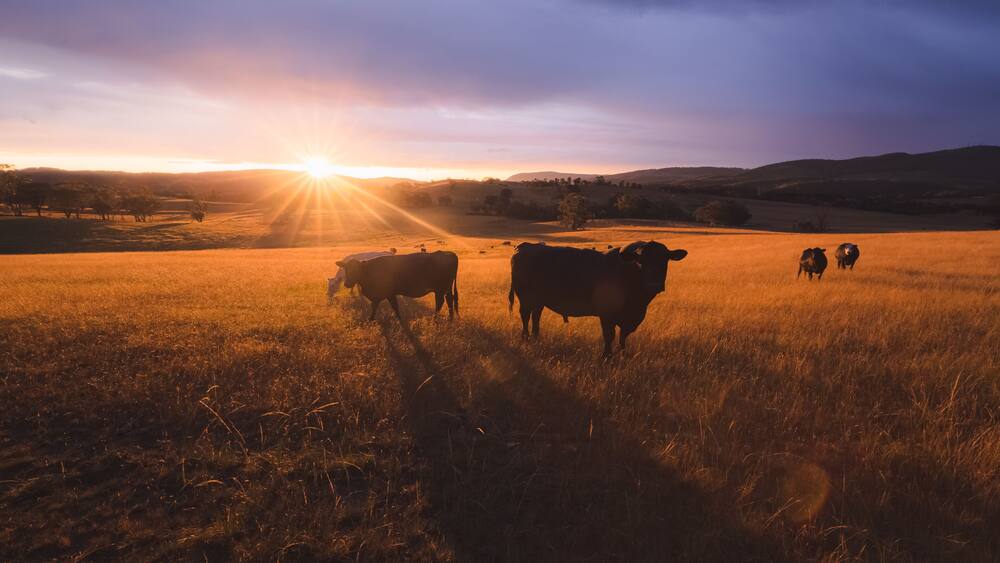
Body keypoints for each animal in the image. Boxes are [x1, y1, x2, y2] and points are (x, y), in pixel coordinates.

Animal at [508, 241, 687, 357]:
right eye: (640, 261)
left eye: (665, 259)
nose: (654, 284)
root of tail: (524, 246)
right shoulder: (607, 314)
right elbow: (609, 335)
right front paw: (607, 357)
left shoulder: (629, 319)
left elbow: (623, 336)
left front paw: (622, 353)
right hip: (525, 298)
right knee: (525, 316)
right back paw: (526, 338)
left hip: (539, 300)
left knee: (536, 316)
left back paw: (536, 337)